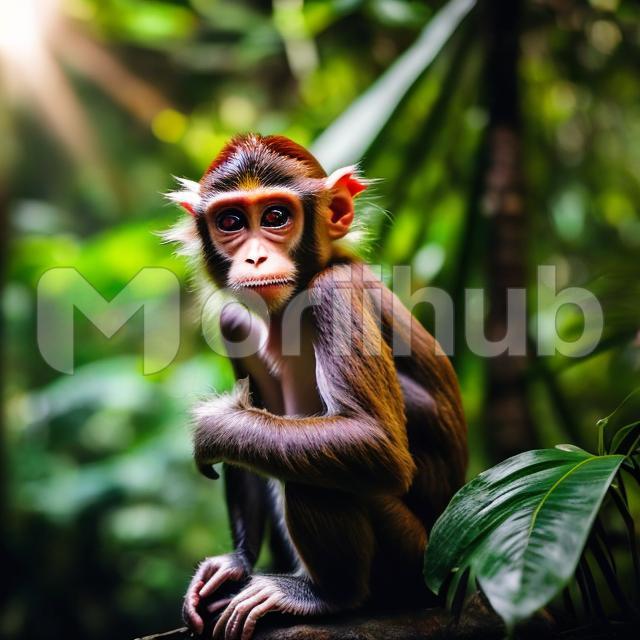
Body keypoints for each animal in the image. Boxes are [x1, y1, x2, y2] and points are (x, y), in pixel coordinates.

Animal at [165, 134, 467, 640]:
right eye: (230, 221)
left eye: (275, 217)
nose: (254, 257)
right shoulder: (234, 322)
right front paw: (234, 562)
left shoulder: (334, 290)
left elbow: (374, 442)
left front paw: (212, 427)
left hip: (412, 561)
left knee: (317, 478)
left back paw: (326, 596)